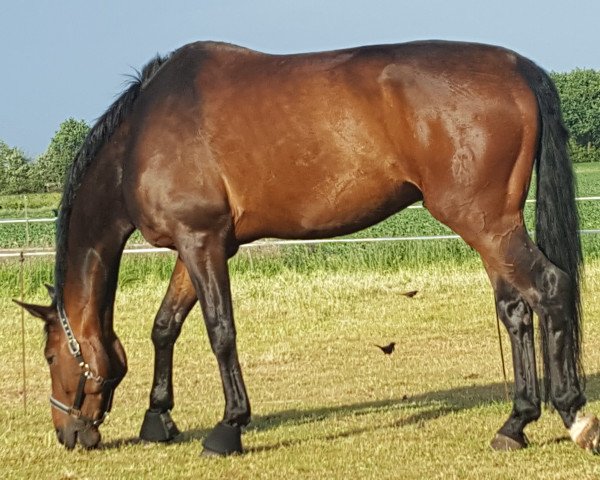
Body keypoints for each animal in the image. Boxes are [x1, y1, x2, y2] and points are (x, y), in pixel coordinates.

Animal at [16, 40, 600, 454]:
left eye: (50, 355)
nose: (68, 435)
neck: (142, 135)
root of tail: (516, 66)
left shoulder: (200, 241)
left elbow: (220, 331)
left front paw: (228, 428)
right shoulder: (199, 244)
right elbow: (166, 326)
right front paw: (158, 418)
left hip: (485, 223)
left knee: (550, 289)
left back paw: (574, 417)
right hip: (495, 227)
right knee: (516, 309)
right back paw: (516, 422)